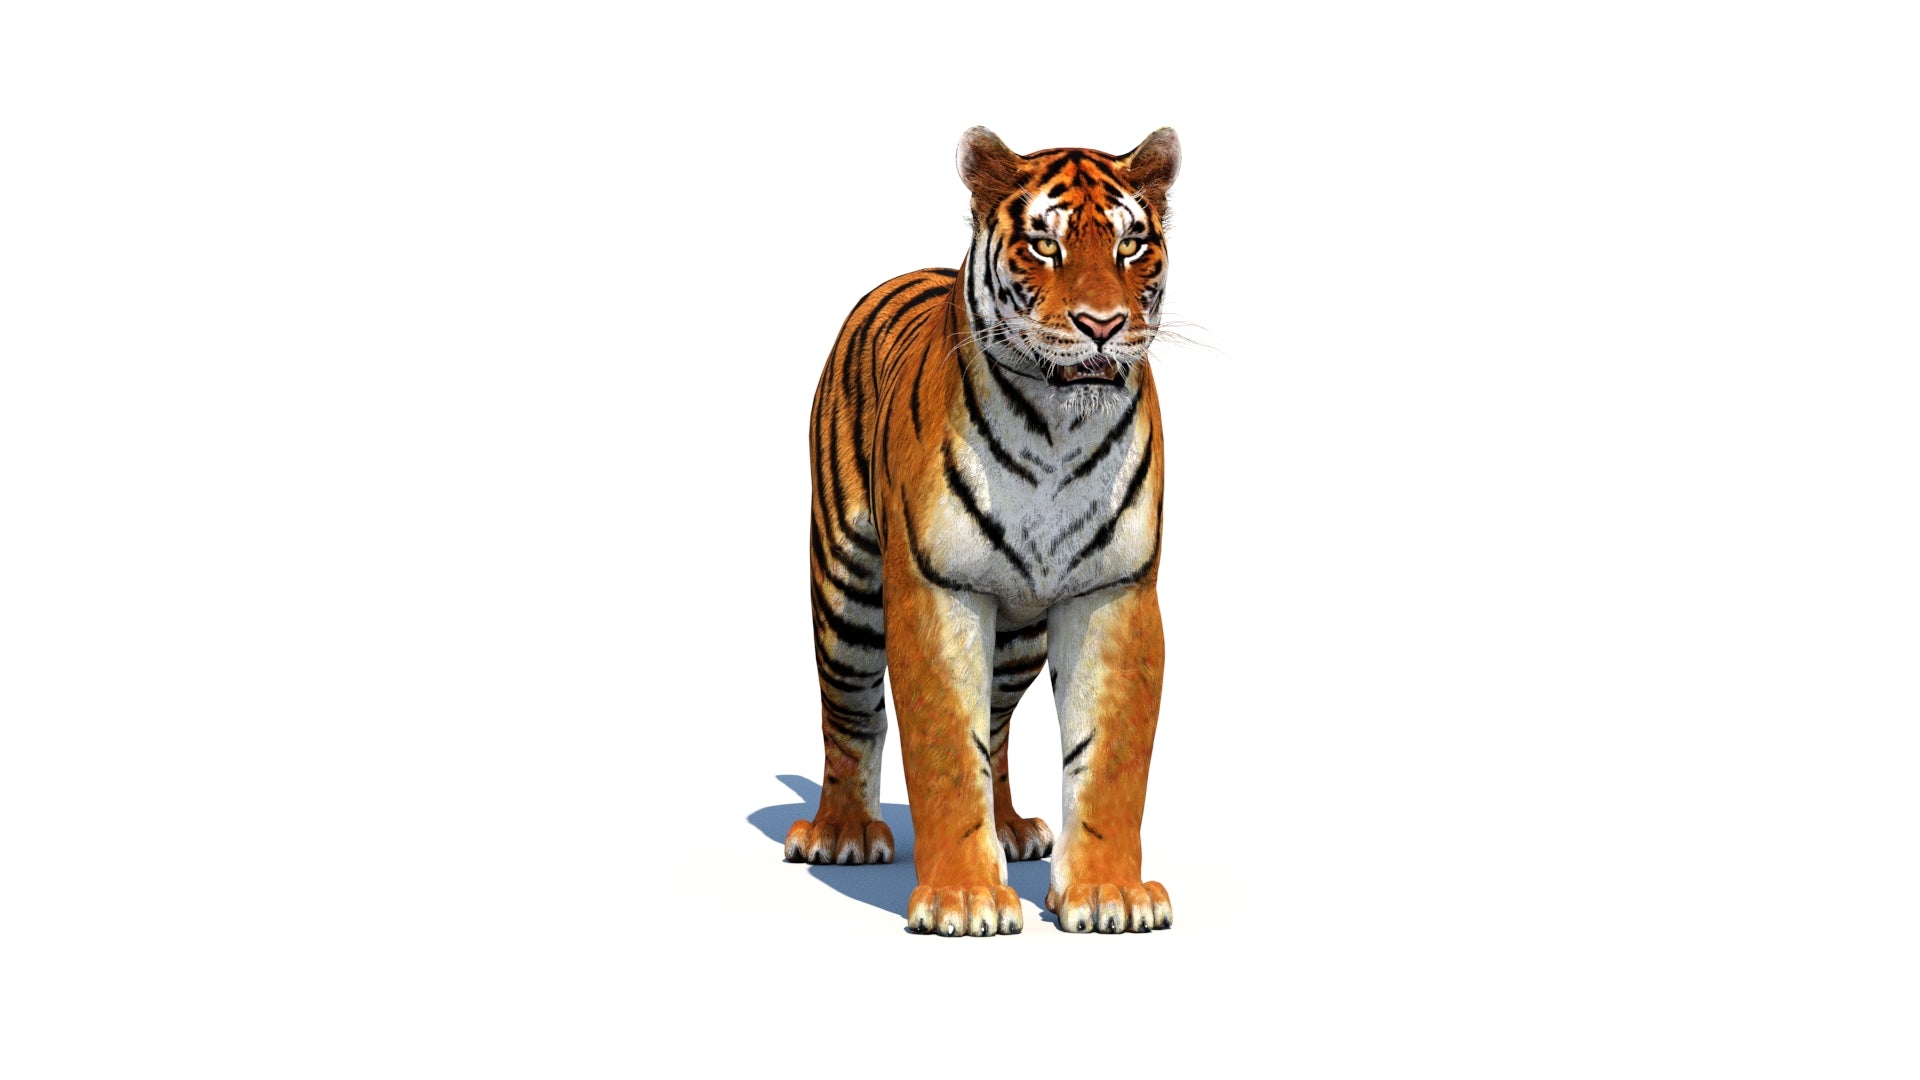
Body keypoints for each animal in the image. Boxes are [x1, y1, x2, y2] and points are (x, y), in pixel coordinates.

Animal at [786, 127, 1180, 936]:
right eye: (1044, 245)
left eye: (1130, 245)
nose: (1103, 325)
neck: (1058, 432)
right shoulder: (938, 589)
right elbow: (944, 749)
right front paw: (963, 898)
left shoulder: (1116, 590)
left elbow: (1109, 757)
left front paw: (1110, 893)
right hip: (846, 586)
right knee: (849, 710)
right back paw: (843, 832)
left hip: (1019, 637)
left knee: (995, 727)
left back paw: (1010, 828)